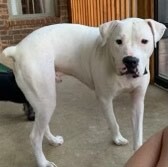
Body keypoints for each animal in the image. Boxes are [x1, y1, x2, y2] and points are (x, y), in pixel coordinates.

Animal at [2, 17, 165, 166]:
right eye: (118, 41)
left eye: (144, 41)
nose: (130, 61)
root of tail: (17, 49)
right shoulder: (105, 99)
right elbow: (113, 122)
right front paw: (117, 138)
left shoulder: (138, 101)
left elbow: (138, 131)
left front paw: (138, 150)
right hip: (46, 99)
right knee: (35, 137)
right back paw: (43, 162)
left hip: (42, 101)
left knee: (42, 126)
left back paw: (53, 140)